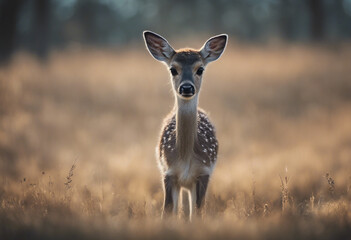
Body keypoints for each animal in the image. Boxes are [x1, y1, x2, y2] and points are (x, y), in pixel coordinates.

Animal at [143, 30, 228, 219]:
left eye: (200, 69)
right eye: (173, 69)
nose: (187, 87)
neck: (185, 157)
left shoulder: (204, 171)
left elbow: (197, 213)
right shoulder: (168, 172)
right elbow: (167, 212)